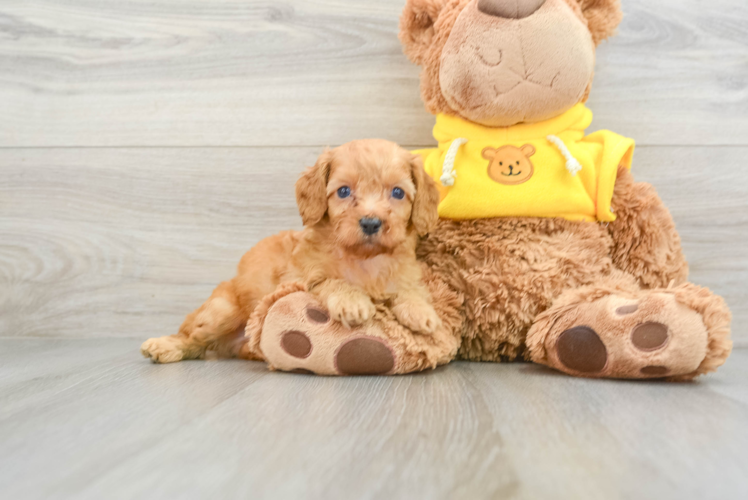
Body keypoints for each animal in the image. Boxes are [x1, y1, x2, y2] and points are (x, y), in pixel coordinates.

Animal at [142, 139, 438, 362]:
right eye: (343, 191)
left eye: (398, 193)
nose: (371, 223)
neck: (365, 259)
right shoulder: (298, 279)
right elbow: (329, 280)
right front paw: (352, 301)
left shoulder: (405, 274)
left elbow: (409, 290)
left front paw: (421, 311)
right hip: (221, 311)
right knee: (193, 339)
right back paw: (165, 346)